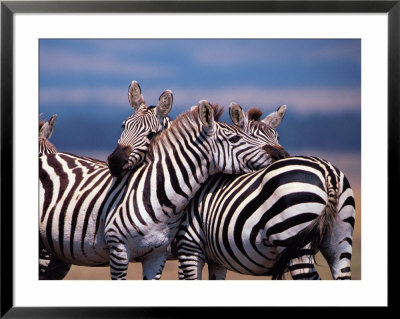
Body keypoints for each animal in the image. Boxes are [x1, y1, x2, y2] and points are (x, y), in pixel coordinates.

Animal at [177, 105, 354, 280]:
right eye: (249, 137)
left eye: (278, 137)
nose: (283, 156)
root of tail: (328, 172)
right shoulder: (214, 258)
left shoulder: (189, 245)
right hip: (340, 238)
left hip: (294, 240)